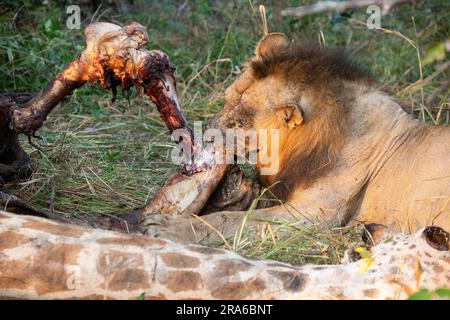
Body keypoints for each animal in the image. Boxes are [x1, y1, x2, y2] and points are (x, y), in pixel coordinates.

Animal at [145, 33, 450, 242]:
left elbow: (228, 221)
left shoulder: (312, 215)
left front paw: (164, 227)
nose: (202, 137)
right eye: (225, 99)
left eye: (238, 123)